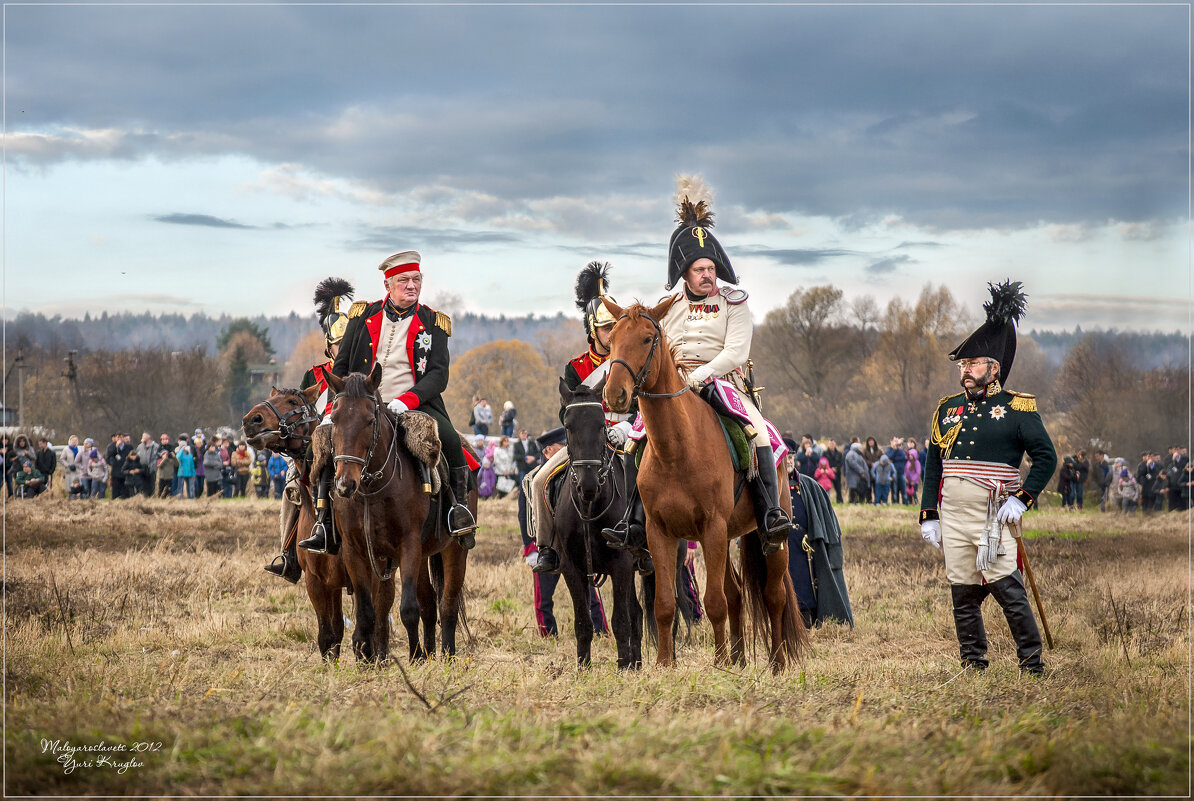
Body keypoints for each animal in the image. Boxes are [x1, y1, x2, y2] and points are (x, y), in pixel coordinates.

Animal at [327, 365, 475, 663]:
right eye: (334, 419)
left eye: (370, 420)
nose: (345, 485)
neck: (372, 487)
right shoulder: (355, 550)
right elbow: (367, 610)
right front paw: (365, 656)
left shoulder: (408, 545)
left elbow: (408, 609)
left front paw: (415, 656)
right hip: (423, 555)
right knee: (429, 603)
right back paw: (429, 653)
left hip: (453, 550)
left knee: (447, 605)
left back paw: (447, 656)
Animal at [601, 294, 807, 668]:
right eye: (612, 342)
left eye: (648, 339)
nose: (615, 395)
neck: (677, 450)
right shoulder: (659, 532)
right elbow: (665, 604)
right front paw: (665, 664)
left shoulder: (712, 527)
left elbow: (713, 602)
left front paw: (719, 663)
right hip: (725, 538)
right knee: (736, 593)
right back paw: (739, 660)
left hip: (766, 539)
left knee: (773, 595)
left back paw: (776, 663)